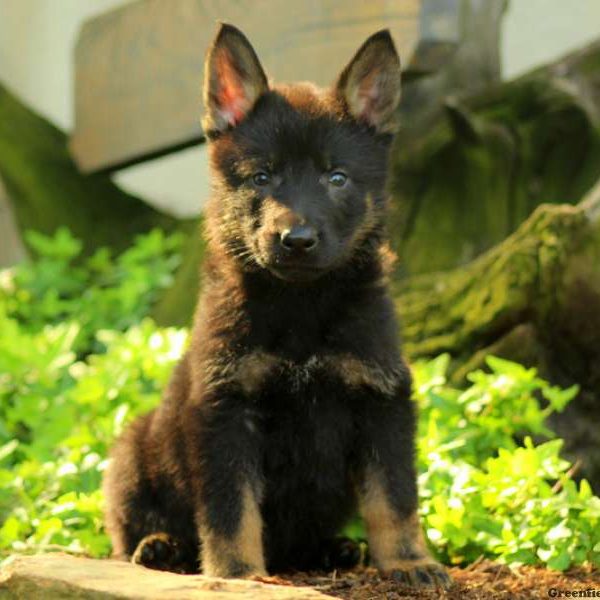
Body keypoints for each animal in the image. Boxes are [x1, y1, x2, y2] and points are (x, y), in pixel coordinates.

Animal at [103, 22, 450, 584]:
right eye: (262, 177)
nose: (297, 240)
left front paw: (408, 560)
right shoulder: (225, 412)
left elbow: (395, 498)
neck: (301, 307)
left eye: (336, 178)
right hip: (131, 455)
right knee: (131, 528)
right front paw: (237, 572)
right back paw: (160, 547)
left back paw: (336, 550)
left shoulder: (382, 401)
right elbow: (231, 509)